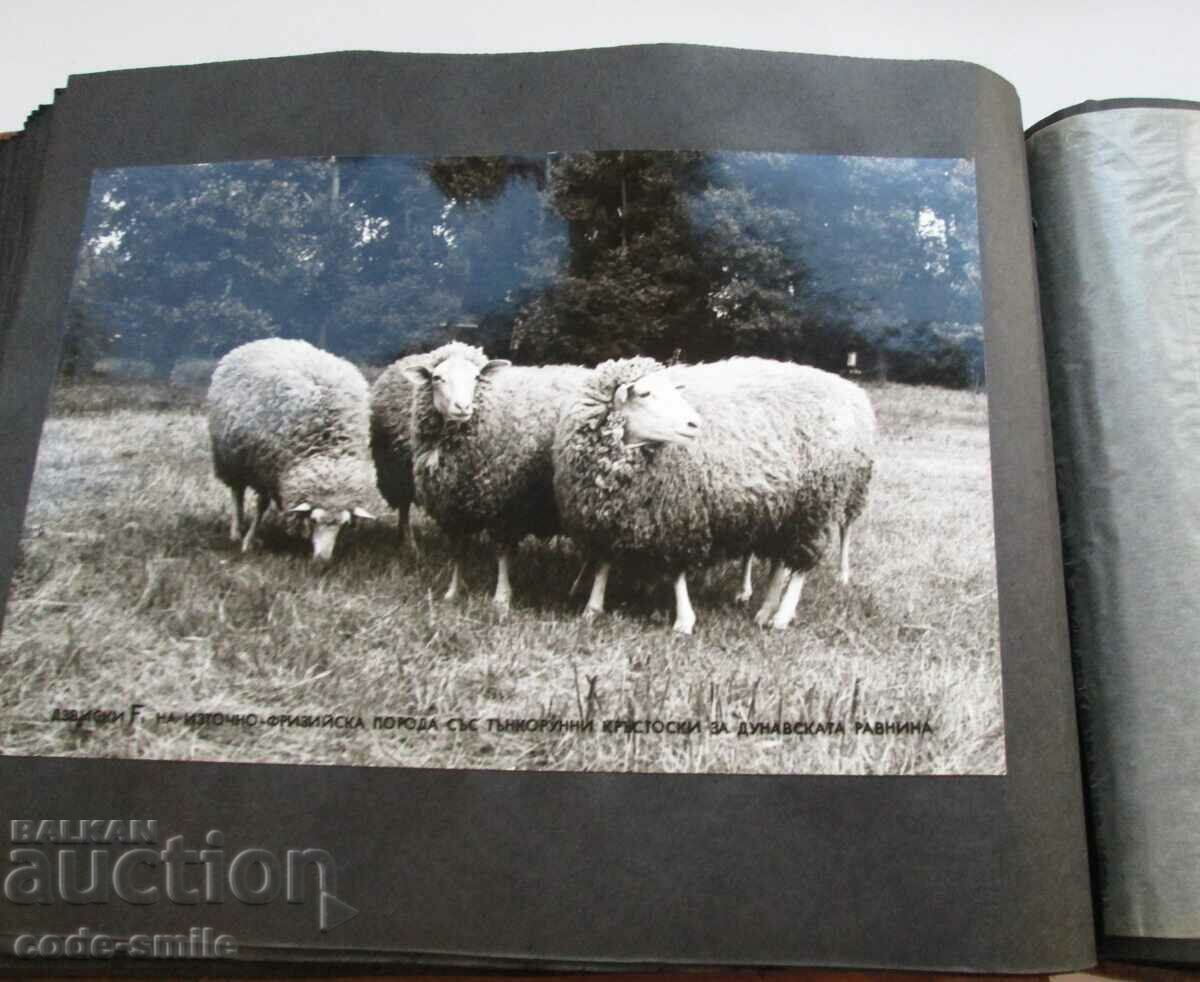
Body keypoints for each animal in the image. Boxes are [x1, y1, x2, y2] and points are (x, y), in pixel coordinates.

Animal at [207, 338, 378, 562]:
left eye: (343, 524)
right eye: (314, 520)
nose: (323, 560)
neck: (327, 450)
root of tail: (265, 340)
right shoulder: (266, 469)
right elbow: (261, 506)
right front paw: (249, 541)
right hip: (231, 457)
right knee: (237, 492)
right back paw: (237, 530)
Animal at [369, 342, 485, 554]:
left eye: (477, 377)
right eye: (437, 378)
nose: (462, 407)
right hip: (397, 468)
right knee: (404, 506)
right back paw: (409, 545)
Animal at [402, 347, 589, 608]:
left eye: (476, 378)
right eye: (437, 378)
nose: (462, 407)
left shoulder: (503, 504)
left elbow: (502, 554)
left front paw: (501, 598)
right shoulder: (452, 509)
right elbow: (457, 552)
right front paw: (453, 591)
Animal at [553, 356, 875, 633]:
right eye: (644, 394)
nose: (694, 423)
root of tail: (841, 384)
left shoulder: (679, 513)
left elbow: (677, 572)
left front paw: (684, 620)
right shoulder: (606, 515)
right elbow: (603, 563)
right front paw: (592, 608)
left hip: (817, 502)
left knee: (800, 566)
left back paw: (782, 615)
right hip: (784, 508)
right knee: (780, 563)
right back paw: (765, 610)